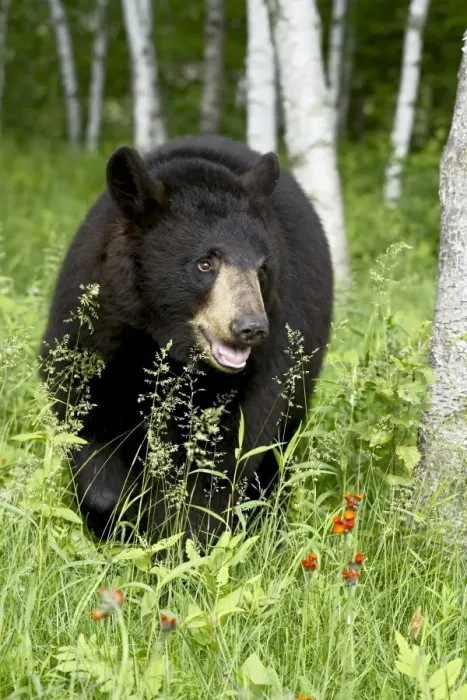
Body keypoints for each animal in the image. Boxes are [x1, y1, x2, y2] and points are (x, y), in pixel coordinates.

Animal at [40, 135, 333, 544]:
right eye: (205, 263)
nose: (251, 327)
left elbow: (223, 457)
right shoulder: (95, 331)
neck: (161, 341)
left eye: (262, 269)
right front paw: (119, 520)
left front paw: (180, 540)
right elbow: (85, 417)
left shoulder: (264, 365)